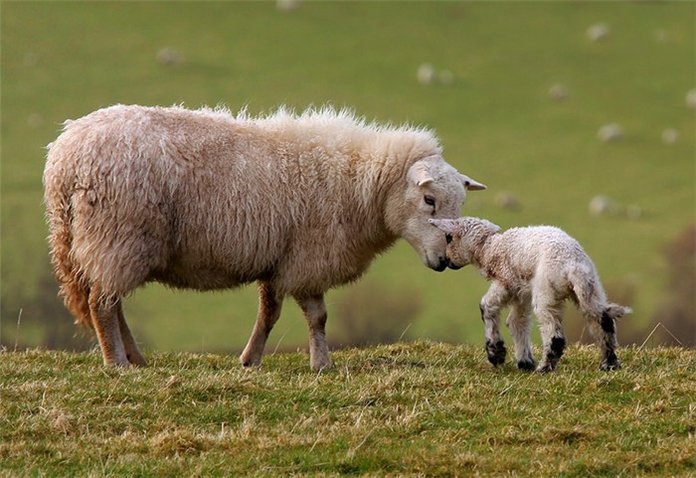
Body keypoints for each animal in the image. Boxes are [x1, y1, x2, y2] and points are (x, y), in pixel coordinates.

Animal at [43, 103, 486, 370]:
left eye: (460, 204)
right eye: (429, 199)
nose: (447, 261)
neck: (360, 185)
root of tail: (64, 158)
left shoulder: (281, 257)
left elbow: (269, 314)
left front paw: (251, 360)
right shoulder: (308, 256)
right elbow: (317, 316)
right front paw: (321, 364)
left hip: (104, 242)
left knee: (108, 300)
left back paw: (135, 357)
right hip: (117, 235)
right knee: (102, 304)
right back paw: (116, 362)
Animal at [426, 218, 632, 374]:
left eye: (448, 238)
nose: (446, 262)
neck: (489, 249)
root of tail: (573, 266)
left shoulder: (506, 282)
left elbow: (487, 306)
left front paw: (496, 353)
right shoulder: (521, 292)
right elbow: (517, 322)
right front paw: (524, 362)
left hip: (546, 291)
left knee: (555, 335)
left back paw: (545, 368)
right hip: (591, 288)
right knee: (602, 320)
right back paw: (609, 363)